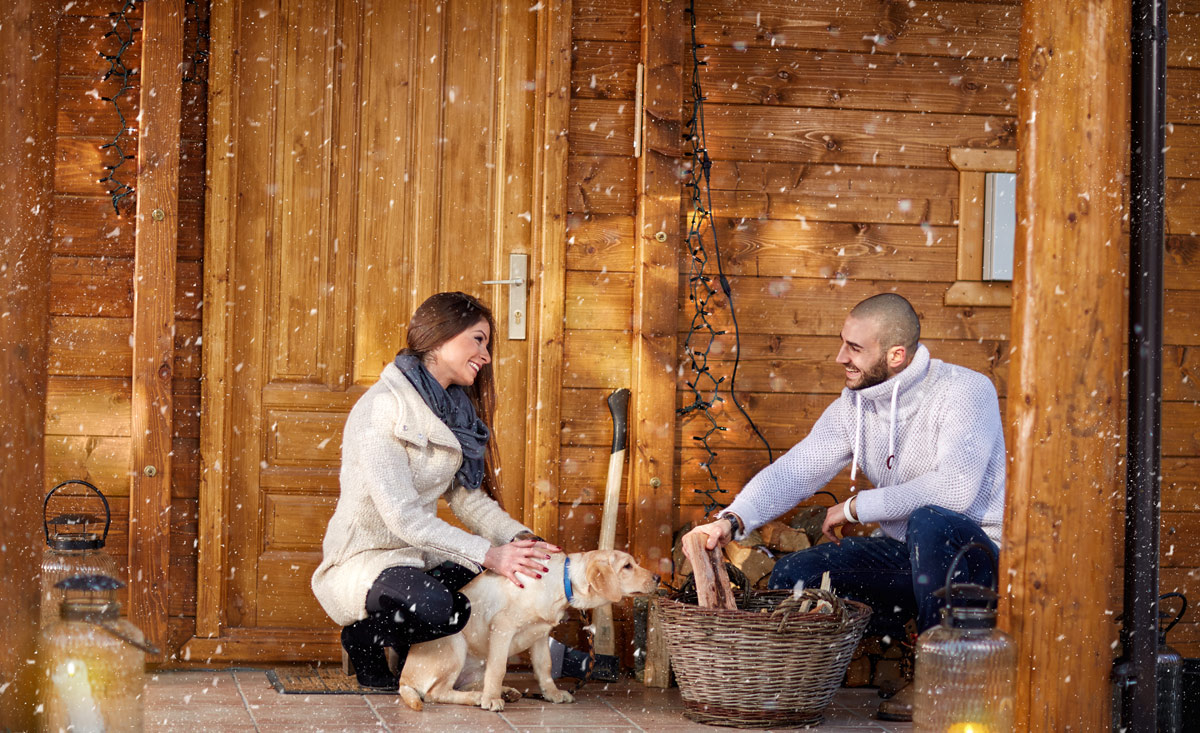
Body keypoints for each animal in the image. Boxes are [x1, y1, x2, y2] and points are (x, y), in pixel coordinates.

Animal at [396, 551, 657, 710]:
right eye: (627, 566)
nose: (657, 577)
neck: (562, 583)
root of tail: (403, 680)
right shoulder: (503, 627)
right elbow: (499, 668)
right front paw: (491, 700)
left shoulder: (541, 635)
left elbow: (545, 667)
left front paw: (552, 693)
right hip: (455, 643)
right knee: (435, 693)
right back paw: (481, 697)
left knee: (462, 684)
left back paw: (504, 692)